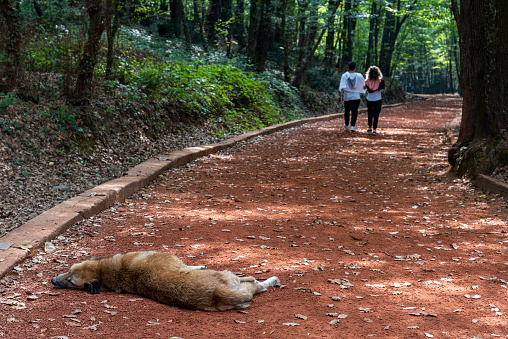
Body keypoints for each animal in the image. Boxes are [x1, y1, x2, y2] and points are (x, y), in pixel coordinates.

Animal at [51, 251, 280, 312]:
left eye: (69, 277)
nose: (53, 280)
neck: (106, 272)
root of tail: (217, 293)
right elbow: (190, 265)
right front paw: (198, 266)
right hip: (227, 275)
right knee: (254, 284)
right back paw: (270, 280)